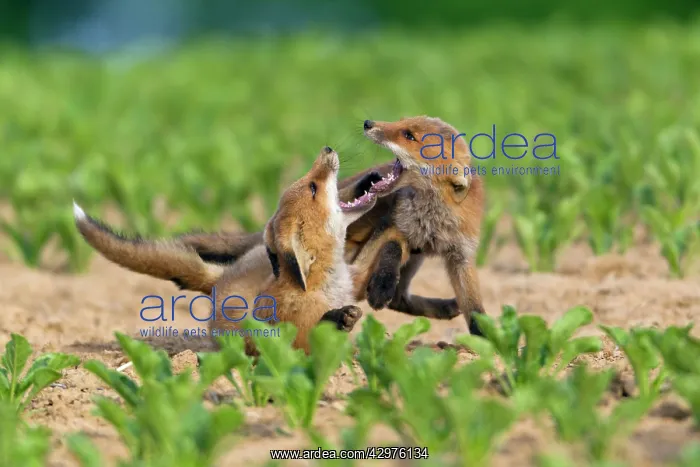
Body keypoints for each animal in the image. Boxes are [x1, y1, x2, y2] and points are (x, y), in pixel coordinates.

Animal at [73, 146, 389, 354]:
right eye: (313, 187)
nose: (327, 149)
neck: (324, 283)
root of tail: (220, 282)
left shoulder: (357, 276)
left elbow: (379, 244)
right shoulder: (282, 334)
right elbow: (303, 338)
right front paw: (337, 319)